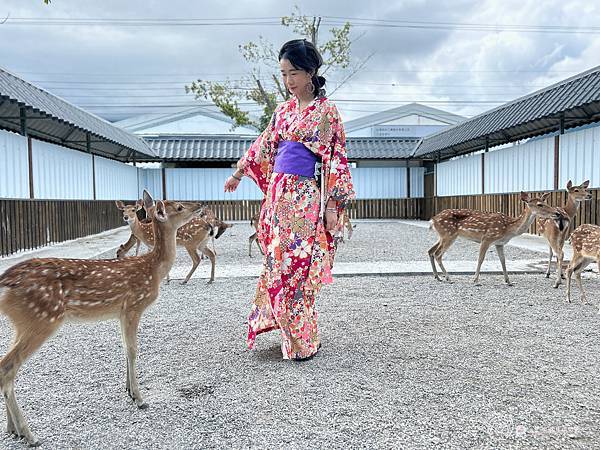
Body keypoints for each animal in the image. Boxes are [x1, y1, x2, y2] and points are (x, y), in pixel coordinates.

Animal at [0, 190, 202, 446]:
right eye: (178, 207)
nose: (200, 205)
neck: (153, 269)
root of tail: (5, 282)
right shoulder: (133, 306)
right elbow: (133, 349)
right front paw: (139, 398)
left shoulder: (120, 312)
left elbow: (125, 347)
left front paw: (128, 390)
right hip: (42, 318)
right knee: (7, 367)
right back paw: (29, 434)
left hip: (22, 323)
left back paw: (12, 429)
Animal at [426, 192, 568, 284]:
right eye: (539, 204)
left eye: (545, 202)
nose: (557, 213)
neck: (508, 229)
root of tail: (433, 219)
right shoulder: (487, 238)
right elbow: (480, 259)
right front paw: (475, 280)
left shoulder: (499, 243)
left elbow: (503, 260)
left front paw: (508, 281)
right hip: (448, 234)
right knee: (438, 254)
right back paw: (448, 278)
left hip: (443, 235)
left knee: (430, 250)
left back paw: (437, 277)